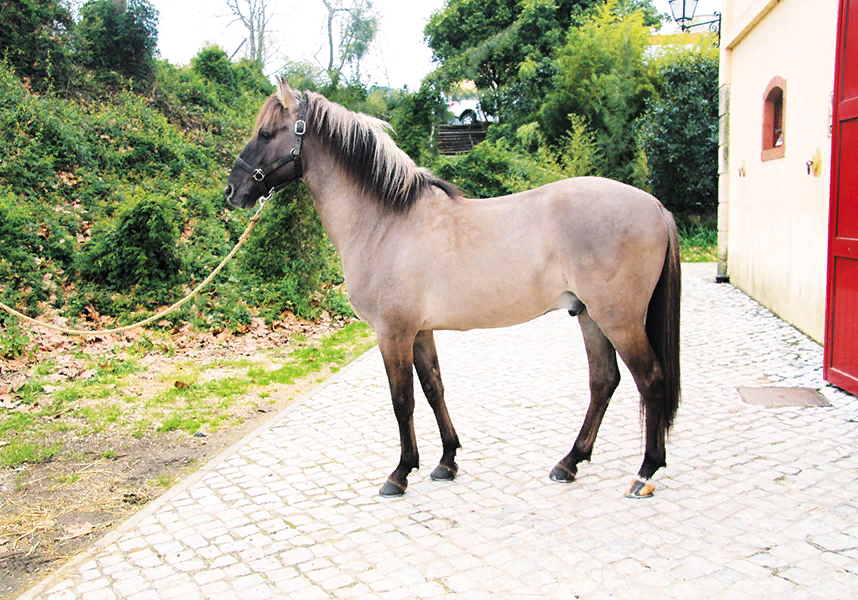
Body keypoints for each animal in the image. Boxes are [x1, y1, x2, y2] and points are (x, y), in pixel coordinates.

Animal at [224, 79, 680, 500]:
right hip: (588, 314)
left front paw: (400, 473)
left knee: (651, 380)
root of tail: (656, 206)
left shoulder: (393, 333)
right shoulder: (420, 331)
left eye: (266, 133)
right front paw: (446, 461)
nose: (233, 190)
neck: (385, 222)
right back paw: (569, 463)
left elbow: (402, 399)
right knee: (604, 381)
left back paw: (644, 473)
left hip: (618, 319)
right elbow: (433, 389)